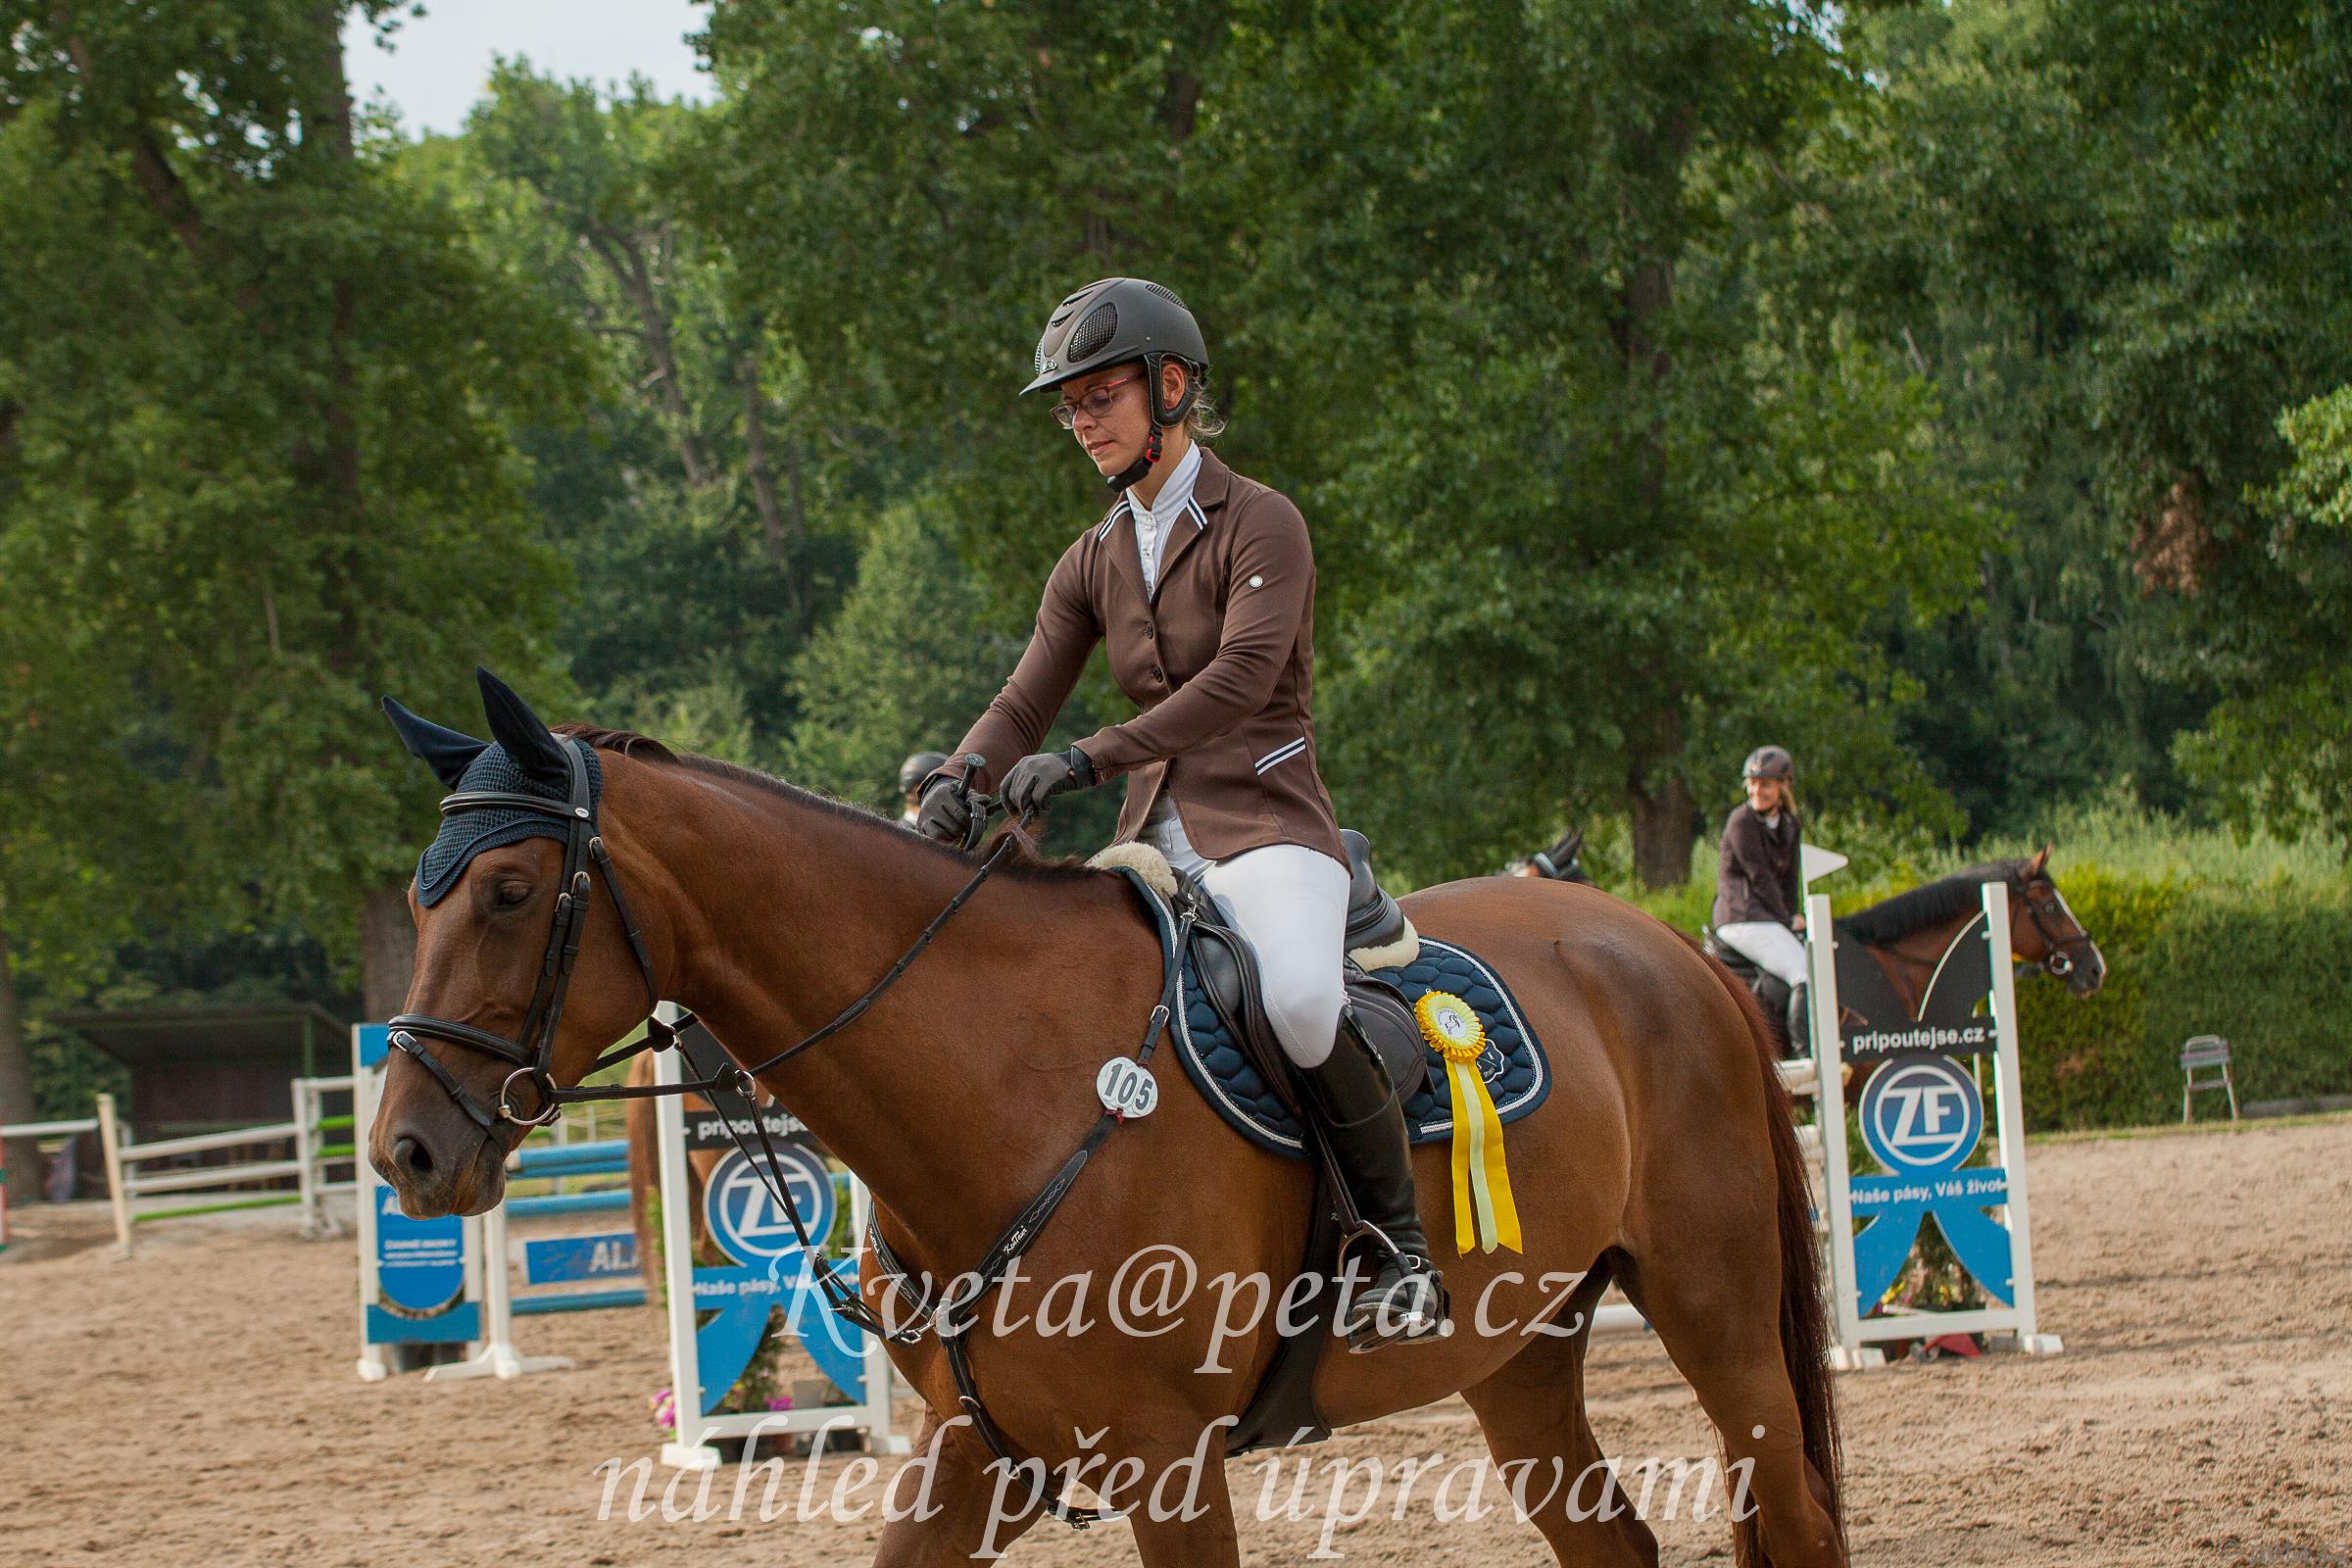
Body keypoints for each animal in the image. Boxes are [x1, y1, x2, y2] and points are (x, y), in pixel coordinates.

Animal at [369, 680, 1847, 1567]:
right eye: (418, 894)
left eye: (508, 891)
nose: (405, 1153)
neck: (994, 1082)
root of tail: (1666, 950)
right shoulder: (973, 1451)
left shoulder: (1168, 1460)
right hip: (1521, 1354)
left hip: (1717, 1318)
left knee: (1794, 1511)